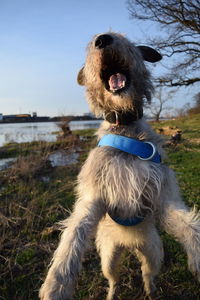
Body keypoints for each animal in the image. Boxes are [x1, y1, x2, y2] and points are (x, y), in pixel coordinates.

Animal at [39, 32, 200, 300]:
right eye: (92, 45)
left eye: (126, 40)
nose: (103, 39)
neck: (124, 128)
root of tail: (130, 243)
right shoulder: (93, 196)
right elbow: (72, 236)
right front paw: (57, 284)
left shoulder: (164, 197)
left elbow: (188, 224)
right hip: (109, 257)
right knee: (113, 279)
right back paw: (112, 294)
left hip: (153, 253)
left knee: (148, 275)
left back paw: (151, 292)